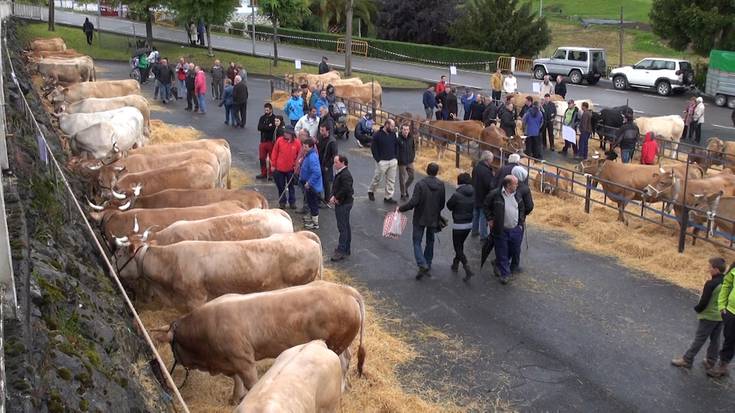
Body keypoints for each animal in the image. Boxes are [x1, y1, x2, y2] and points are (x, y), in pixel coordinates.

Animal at [150, 280, 366, 402]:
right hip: (342, 343)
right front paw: (235, 398)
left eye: (172, 348)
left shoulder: (244, 361)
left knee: (343, 363)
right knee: (347, 358)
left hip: (335, 343)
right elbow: (236, 381)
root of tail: (344, 290)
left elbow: (249, 382)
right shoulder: (230, 362)